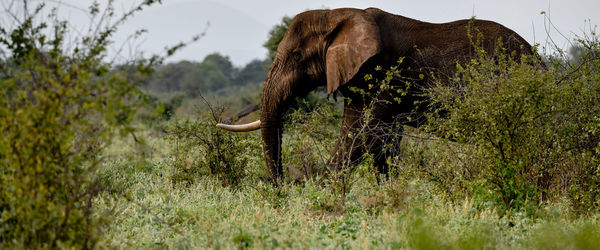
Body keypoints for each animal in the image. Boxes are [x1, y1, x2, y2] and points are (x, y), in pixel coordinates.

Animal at [217, 7, 536, 184]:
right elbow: (374, 138)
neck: (338, 16)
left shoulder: (385, 73)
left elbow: (362, 134)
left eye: (296, 55)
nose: (282, 186)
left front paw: (316, 192)